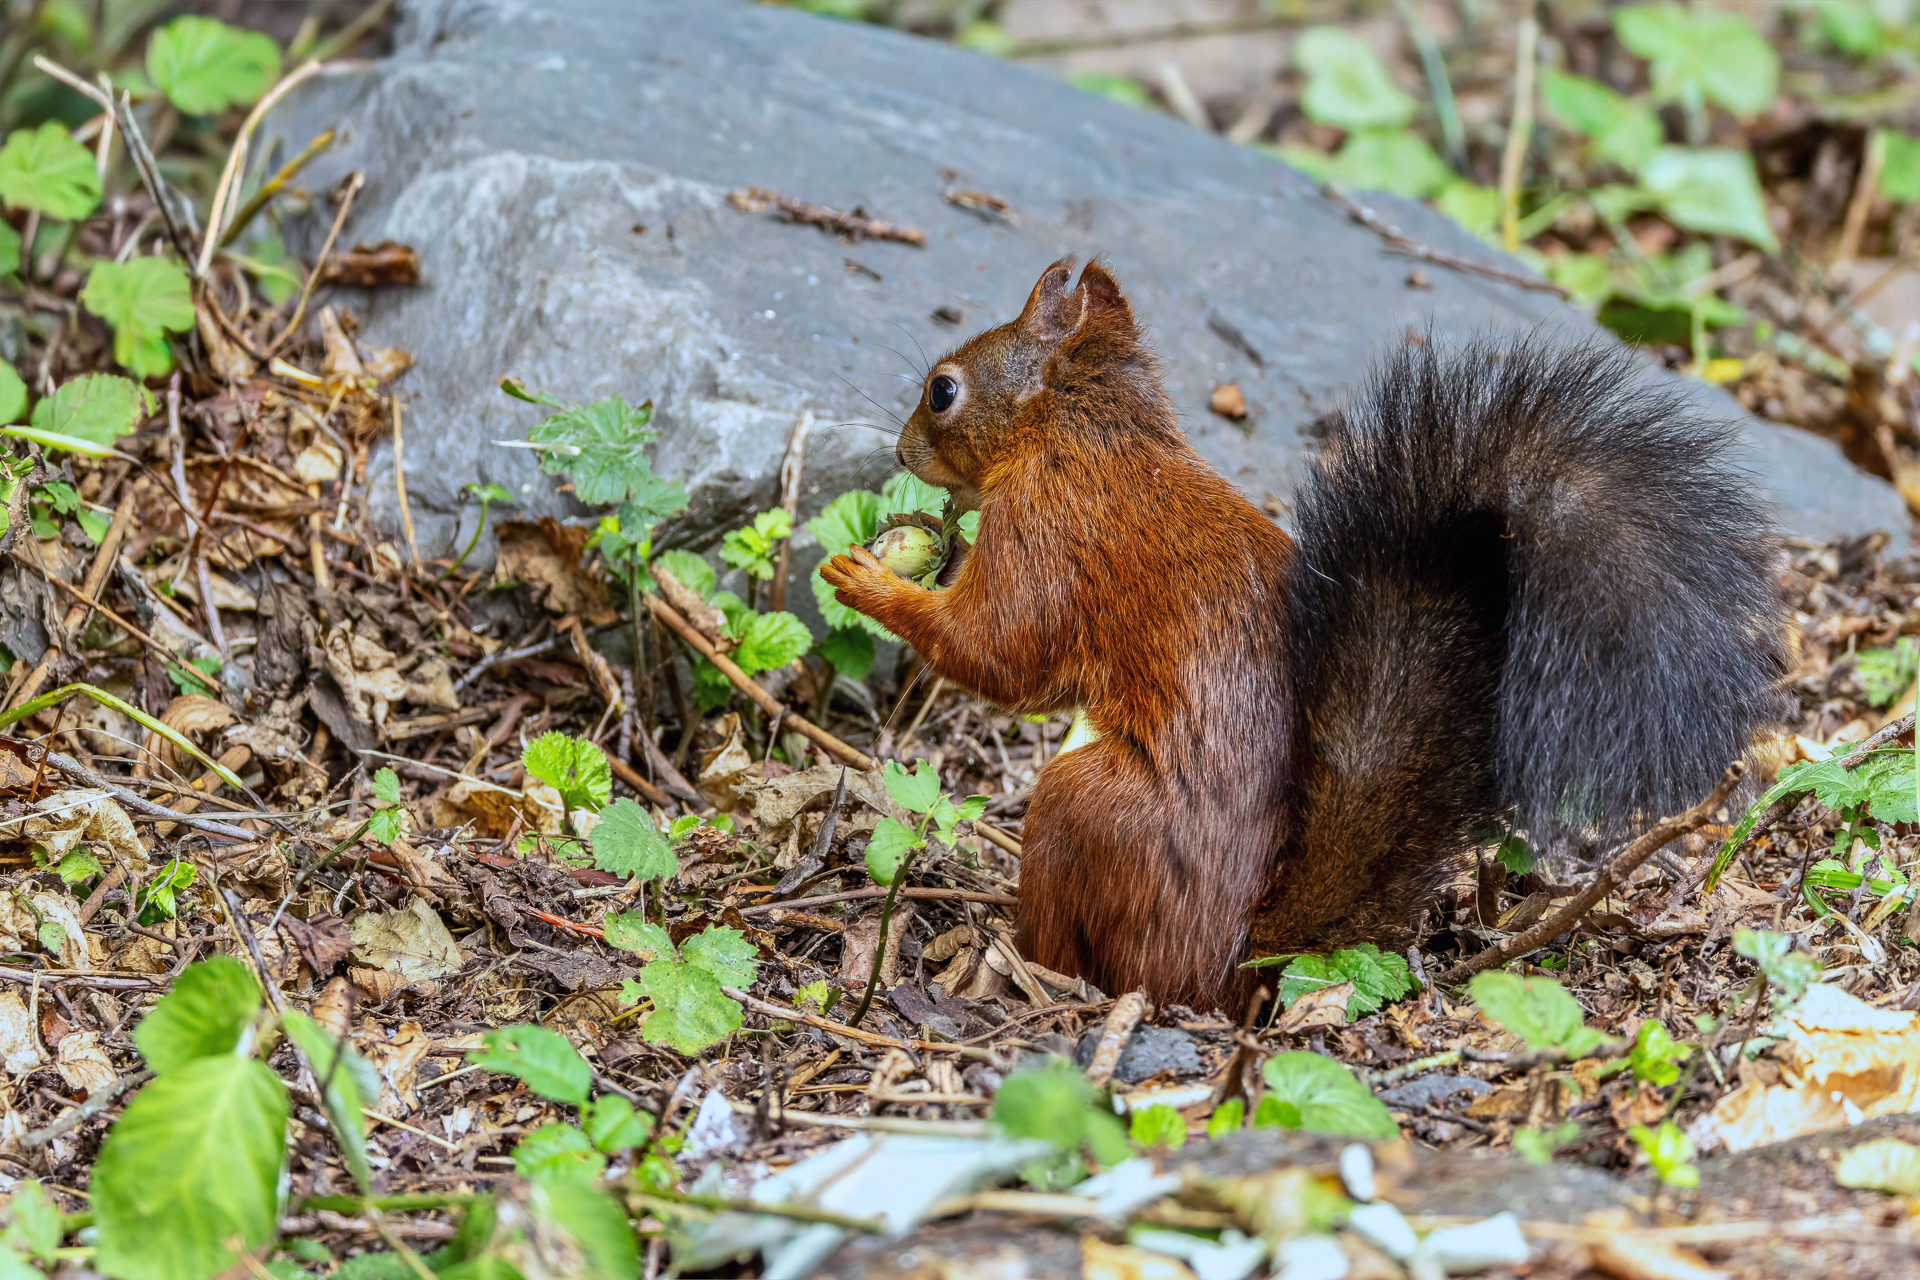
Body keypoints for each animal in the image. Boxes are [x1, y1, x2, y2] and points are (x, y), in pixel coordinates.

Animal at [819, 258, 1786, 1007]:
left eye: (943, 391)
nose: (901, 454)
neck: (1088, 433)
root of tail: (1236, 960)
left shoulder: (1045, 529)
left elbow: (1001, 653)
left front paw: (871, 580)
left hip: (1083, 809)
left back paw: (1019, 961)